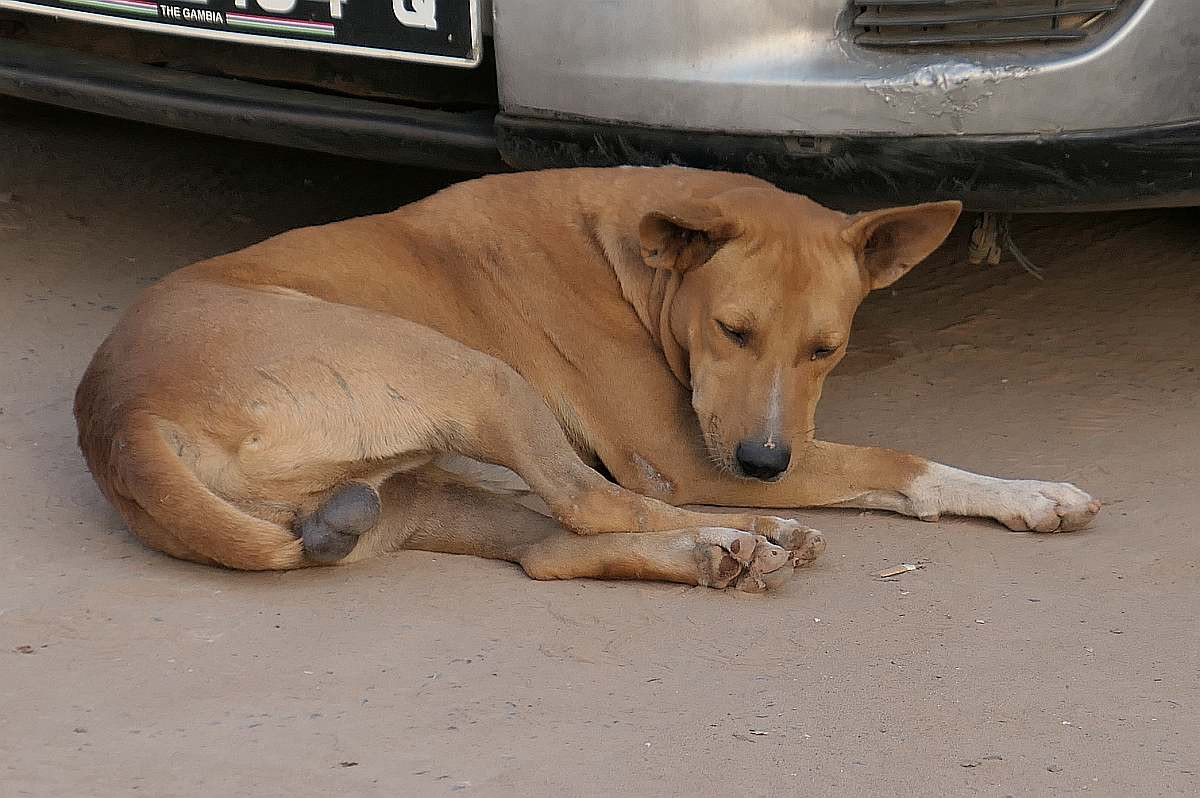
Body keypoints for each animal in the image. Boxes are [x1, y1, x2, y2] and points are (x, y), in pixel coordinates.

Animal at [75, 166, 1099, 590]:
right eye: (732, 331)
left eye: (827, 348)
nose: (764, 464)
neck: (632, 252)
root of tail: (119, 419)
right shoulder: (682, 456)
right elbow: (894, 458)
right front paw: (1023, 489)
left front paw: (1028, 495)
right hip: (482, 377)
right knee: (592, 505)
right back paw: (745, 534)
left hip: (411, 496)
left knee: (547, 548)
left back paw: (721, 549)